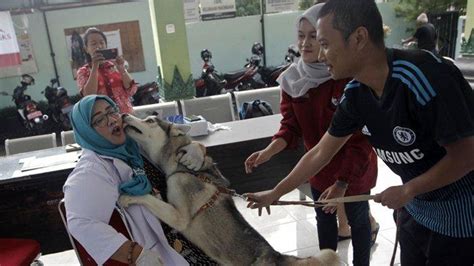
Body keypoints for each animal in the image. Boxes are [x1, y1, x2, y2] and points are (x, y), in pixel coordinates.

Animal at [120, 115, 338, 266]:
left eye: (149, 120)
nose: (123, 114)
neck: (181, 166)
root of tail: (277, 256)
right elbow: (156, 198)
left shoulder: (179, 217)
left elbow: (150, 200)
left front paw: (128, 197)